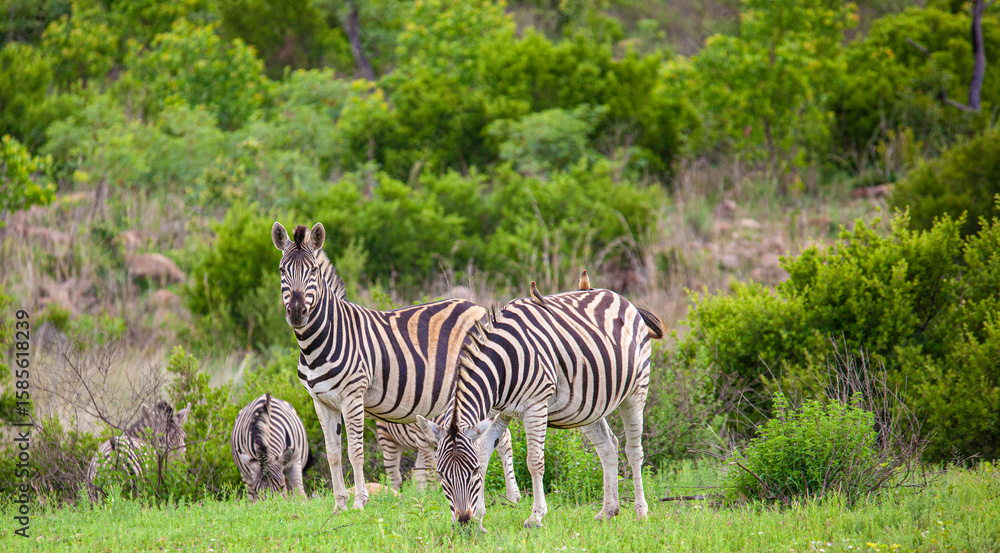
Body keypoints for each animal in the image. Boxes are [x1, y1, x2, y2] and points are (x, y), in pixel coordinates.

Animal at [417, 276, 665, 527]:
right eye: (441, 474)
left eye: (473, 471)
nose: (464, 520)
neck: (502, 366)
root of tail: (621, 298)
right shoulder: (499, 412)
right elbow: (485, 450)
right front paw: (479, 513)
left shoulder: (535, 405)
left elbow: (534, 461)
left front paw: (536, 515)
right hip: (589, 405)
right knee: (608, 446)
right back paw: (608, 510)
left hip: (636, 391)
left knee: (633, 451)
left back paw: (641, 512)